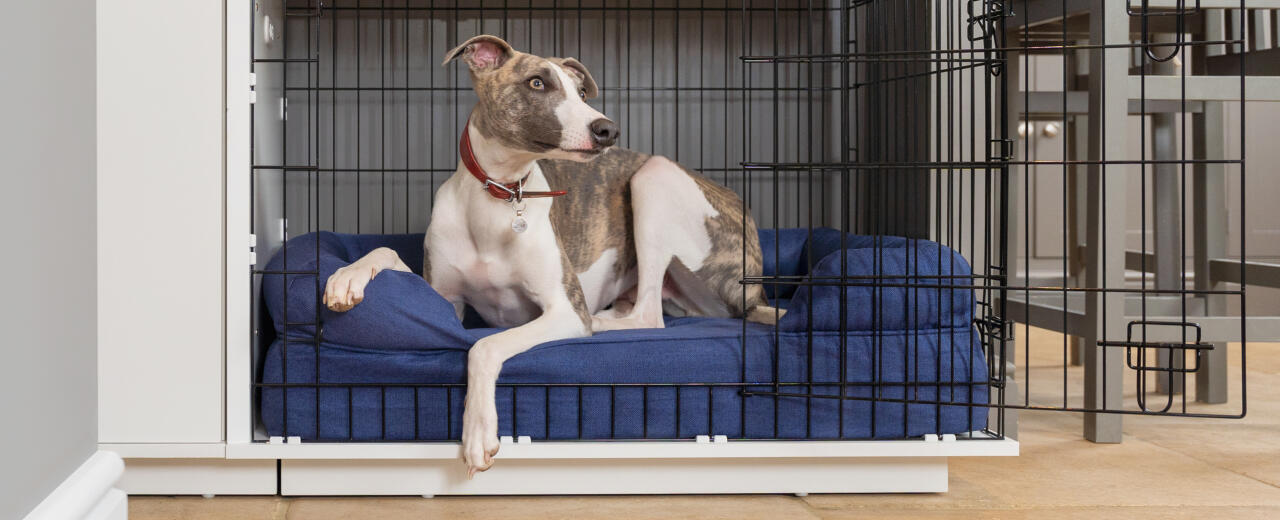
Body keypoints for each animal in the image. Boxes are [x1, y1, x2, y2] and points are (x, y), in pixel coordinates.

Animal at [320, 34, 778, 476]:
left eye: (581, 91)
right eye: (537, 83)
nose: (608, 130)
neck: (501, 196)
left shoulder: (562, 309)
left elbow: (483, 346)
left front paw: (479, 430)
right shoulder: (444, 300)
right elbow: (388, 252)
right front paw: (346, 277)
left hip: (656, 175)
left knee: (649, 316)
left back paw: (602, 322)